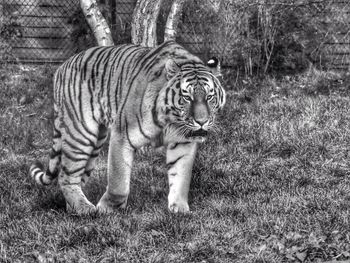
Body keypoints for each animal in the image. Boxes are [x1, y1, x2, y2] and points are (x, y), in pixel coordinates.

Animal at [28, 40, 226, 214]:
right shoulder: (122, 135)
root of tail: (62, 66)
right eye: (187, 97)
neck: (171, 121)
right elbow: (118, 181)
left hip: (96, 142)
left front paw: (179, 208)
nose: (202, 121)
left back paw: (75, 208)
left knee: (77, 177)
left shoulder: (183, 142)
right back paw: (86, 209)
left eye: (209, 97)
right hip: (81, 133)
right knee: (65, 175)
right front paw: (107, 209)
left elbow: (181, 176)